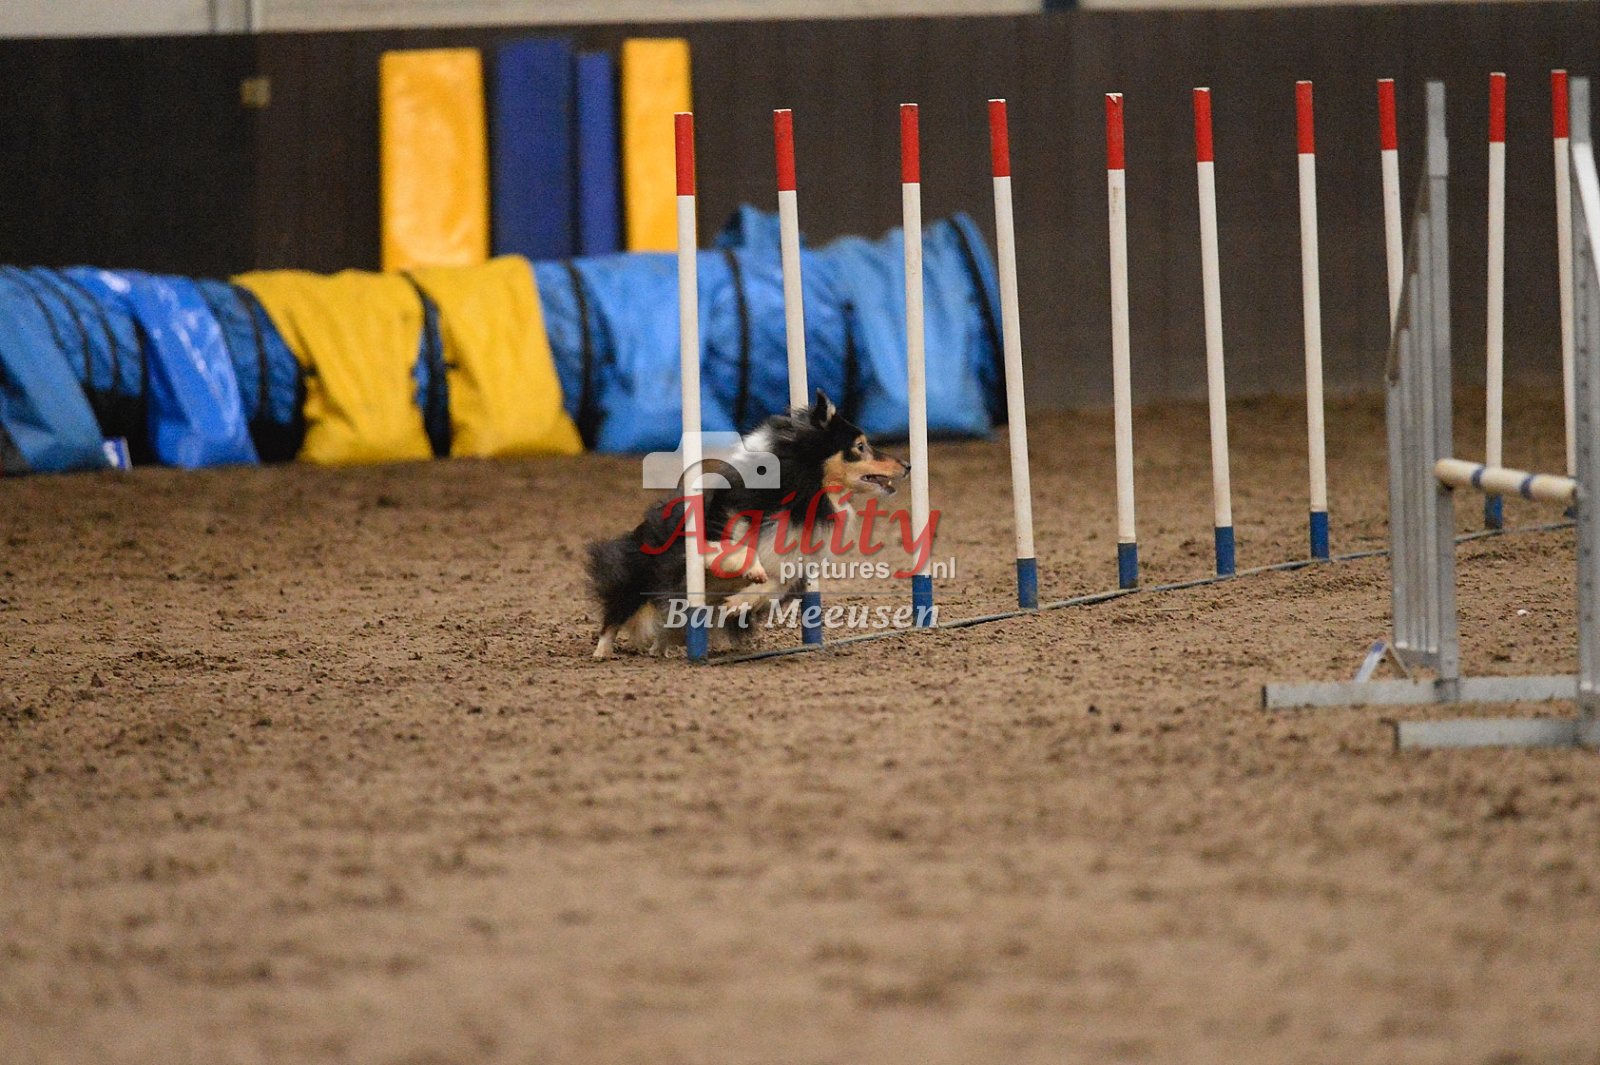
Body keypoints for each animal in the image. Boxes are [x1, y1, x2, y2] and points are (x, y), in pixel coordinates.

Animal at [587, 390, 909, 659]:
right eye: (860, 446)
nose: (907, 465)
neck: (800, 495)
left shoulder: (795, 563)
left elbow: (773, 584)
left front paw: (736, 603)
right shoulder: (707, 538)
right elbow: (740, 550)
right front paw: (752, 571)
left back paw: (662, 649)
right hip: (639, 577)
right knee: (616, 613)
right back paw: (603, 652)